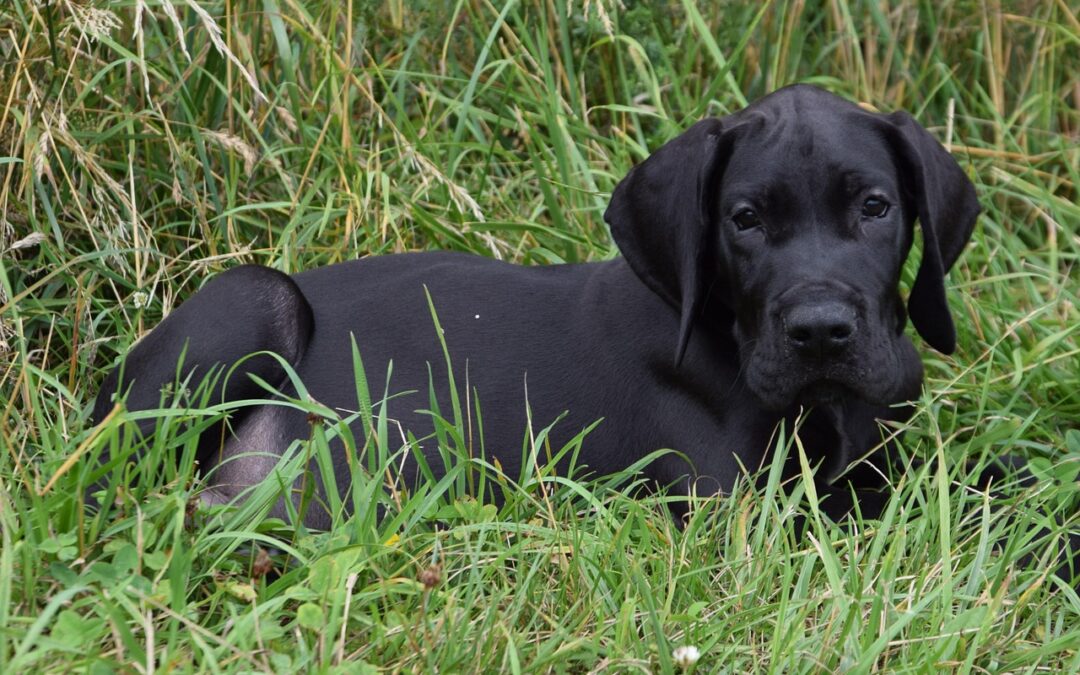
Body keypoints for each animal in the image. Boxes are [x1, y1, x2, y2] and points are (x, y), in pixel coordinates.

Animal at [90, 84, 980, 527]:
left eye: (875, 207)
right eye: (746, 219)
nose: (822, 332)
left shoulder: (880, 460)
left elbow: (960, 485)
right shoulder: (735, 511)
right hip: (257, 297)